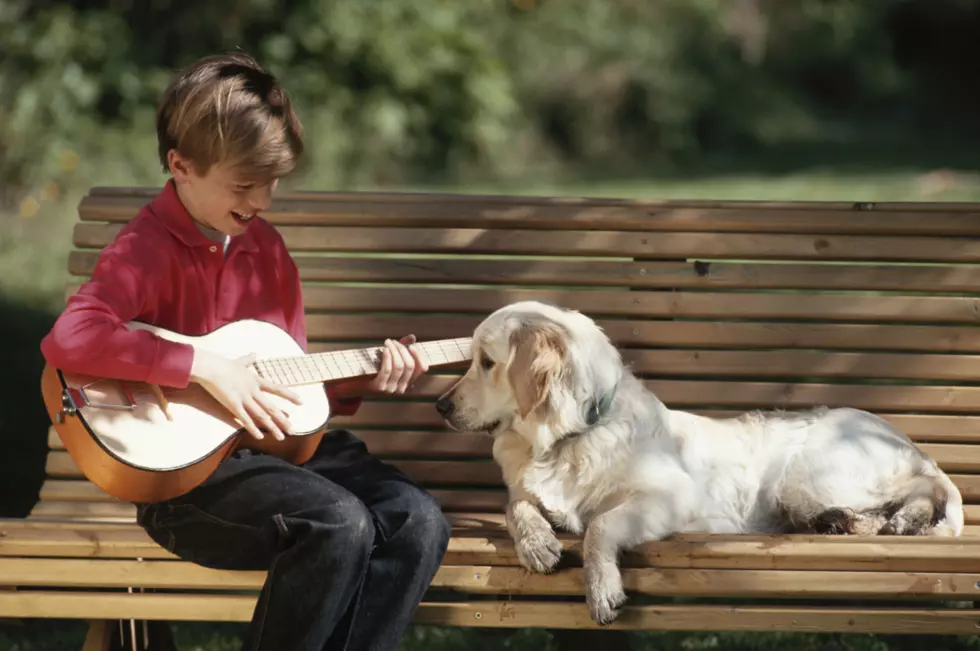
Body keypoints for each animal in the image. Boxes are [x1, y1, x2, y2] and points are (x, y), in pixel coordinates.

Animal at [434, 300, 964, 628]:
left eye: (486, 362)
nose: (440, 405)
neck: (567, 438)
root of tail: (901, 437)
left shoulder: (669, 498)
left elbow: (600, 526)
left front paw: (601, 590)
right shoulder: (527, 493)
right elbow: (517, 507)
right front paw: (538, 544)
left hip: (805, 476)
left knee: (924, 489)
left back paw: (894, 520)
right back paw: (860, 522)